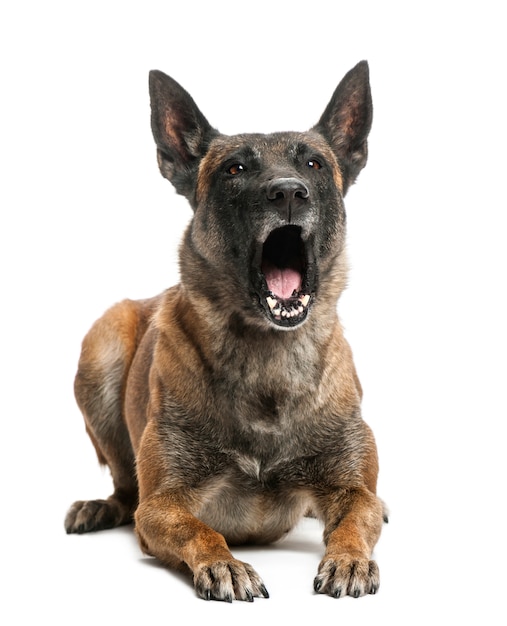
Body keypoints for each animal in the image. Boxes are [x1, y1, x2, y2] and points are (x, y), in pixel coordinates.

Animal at [65, 59, 386, 600]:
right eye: (235, 168)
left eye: (314, 165)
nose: (288, 192)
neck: (268, 354)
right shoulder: (163, 505)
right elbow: (200, 529)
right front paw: (225, 565)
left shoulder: (351, 486)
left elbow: (357, 517)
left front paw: (349, 559)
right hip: (102, 345)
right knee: (126, 489)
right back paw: (101, 506)